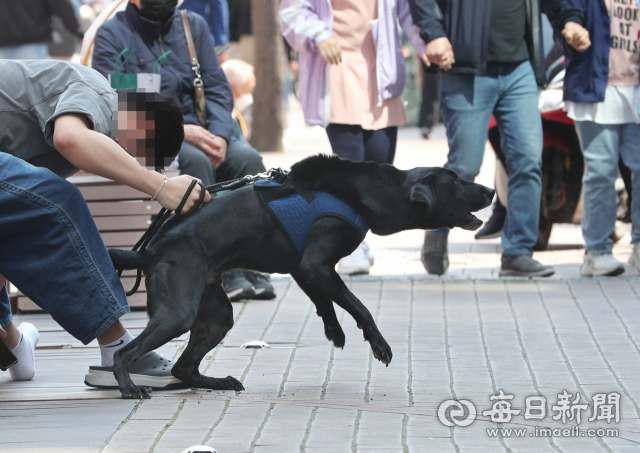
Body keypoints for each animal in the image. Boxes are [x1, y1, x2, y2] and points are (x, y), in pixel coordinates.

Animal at [109, 154, 496, 398]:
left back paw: (219, 382)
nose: (492, 190)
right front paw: (379, 344)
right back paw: (129, 388)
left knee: (183, 368)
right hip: (179, 313)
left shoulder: (303, 268)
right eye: (456, 181)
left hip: (216, 315)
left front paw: (334, 331)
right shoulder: (316, 265)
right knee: (124, 355)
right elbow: (358, 306)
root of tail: (151, 251)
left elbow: (325, 302)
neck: (362, 194)